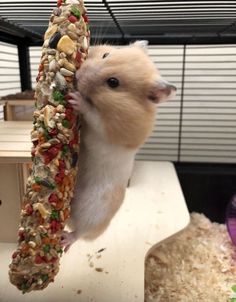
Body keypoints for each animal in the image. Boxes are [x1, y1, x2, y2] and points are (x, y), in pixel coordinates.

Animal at [60, 40, 175, 252]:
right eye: (106, 55)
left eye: (113, 83)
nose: (78, 75)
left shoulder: (109, 131)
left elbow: (93, 115)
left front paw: (75, 97)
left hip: (94, 211)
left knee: (81, 233)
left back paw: (66, 240)